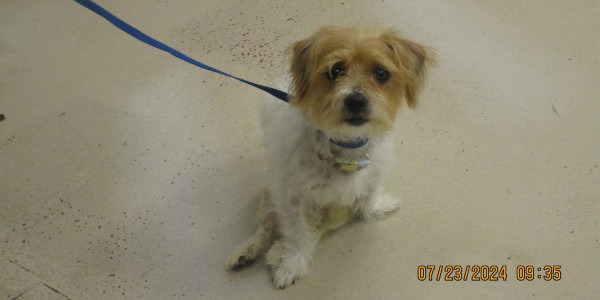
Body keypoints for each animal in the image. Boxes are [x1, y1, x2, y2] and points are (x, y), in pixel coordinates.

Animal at [227, 25, 434, 288]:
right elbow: (297, 233)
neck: (345, 151)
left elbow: (368, 200)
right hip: (272, 194)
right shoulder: (293, 198)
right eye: (335, 70)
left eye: (381, 73)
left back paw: (274, 252)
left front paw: (378, 207)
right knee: (270, 226)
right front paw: (292, 263)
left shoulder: (373, 175)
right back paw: (248, 252)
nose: (356, 99)